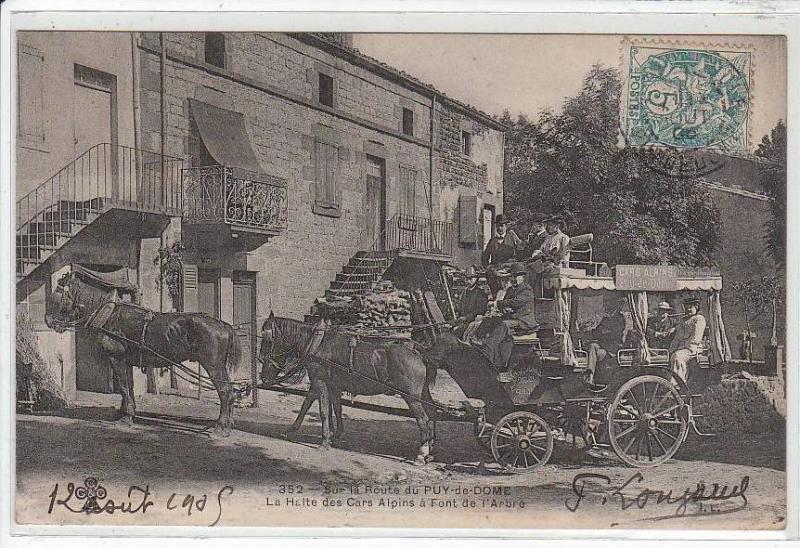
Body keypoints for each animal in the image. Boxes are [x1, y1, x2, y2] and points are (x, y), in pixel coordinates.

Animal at [44, 268, 241, 432]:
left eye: (56, 294)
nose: (47, 320)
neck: (109, 314)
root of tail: (224, 325)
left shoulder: (116, 359)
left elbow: (123, 387)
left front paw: (126, 417)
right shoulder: (126, 361)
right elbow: (128, 389)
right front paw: (125, 412)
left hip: (213, 365)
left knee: (225, 391)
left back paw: (220, 427)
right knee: (230, 392)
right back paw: (228, 424)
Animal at [260, 312, 438, 462]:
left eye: (267, 340)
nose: (263, 375)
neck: (318, 343)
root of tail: (416, 350)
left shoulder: (320, 382)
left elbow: (323, 411)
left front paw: (324, 441)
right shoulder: (331, 385)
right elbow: (326, 408)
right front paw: (329, 435)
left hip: (411, 396)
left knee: (423, 420)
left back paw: (421, 454)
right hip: (423, 394)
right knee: (432, 415)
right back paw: (430, 452)